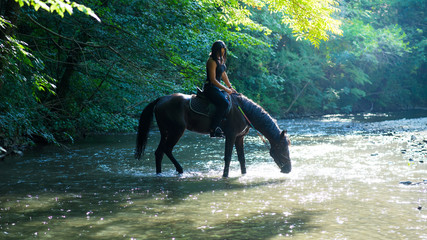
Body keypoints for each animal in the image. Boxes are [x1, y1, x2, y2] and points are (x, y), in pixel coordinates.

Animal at [135, 93, 292, 177]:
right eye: (282, 148)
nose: (288, 169)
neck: (243, 111)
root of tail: (160, 99)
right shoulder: (231, 135)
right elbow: (228, 157)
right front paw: (225, 175)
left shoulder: (239, 138)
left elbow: (241, 159)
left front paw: (244, 174)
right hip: (176, 131)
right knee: (167, 149)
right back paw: (180, 170)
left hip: (165, 132)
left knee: (159, 152)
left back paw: (160, 173)